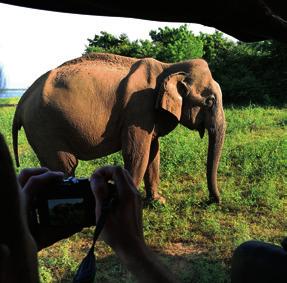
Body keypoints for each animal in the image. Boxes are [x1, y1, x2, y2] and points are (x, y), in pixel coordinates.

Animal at [11, 52, 227, 204]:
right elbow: (136, 153)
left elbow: (153, 152)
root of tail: (22, 101)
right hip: (44, 127)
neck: (168, 66)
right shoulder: (137, 108)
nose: (213, 201)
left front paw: (158, 202)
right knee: (65, 166)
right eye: (209, 101)